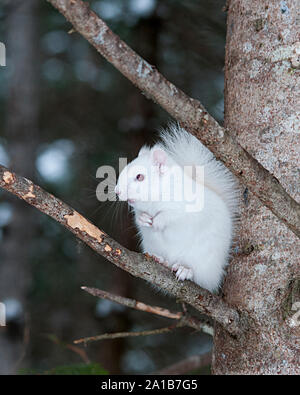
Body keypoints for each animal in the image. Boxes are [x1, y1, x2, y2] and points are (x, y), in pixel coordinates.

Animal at [115, 125, 239, 292]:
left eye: (139, 177)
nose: (117, 191)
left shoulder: (186, 209)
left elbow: (172, 215)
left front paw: (158, 221)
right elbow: (139, 217)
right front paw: (144, 219)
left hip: (203, 260)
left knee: (201, 279)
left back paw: (185, 270)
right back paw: (160, 259)